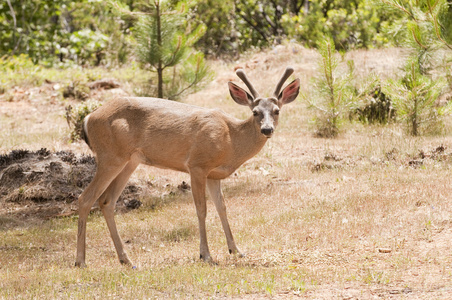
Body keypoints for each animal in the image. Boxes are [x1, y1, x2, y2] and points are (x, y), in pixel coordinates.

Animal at [74, 67, 300, 268]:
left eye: (276, 111)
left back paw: (126, 260)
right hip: (110, 156)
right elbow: (202, 209)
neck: (230, 139)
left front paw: (236, 250)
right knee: (85, 198)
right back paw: (81, 261)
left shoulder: (214, 175)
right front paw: (206, 255)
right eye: (255, 112)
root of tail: (88, 118)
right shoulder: (197, 165)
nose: (267, 129)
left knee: (106, 201)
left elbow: (222, 208)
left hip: (130, 160)